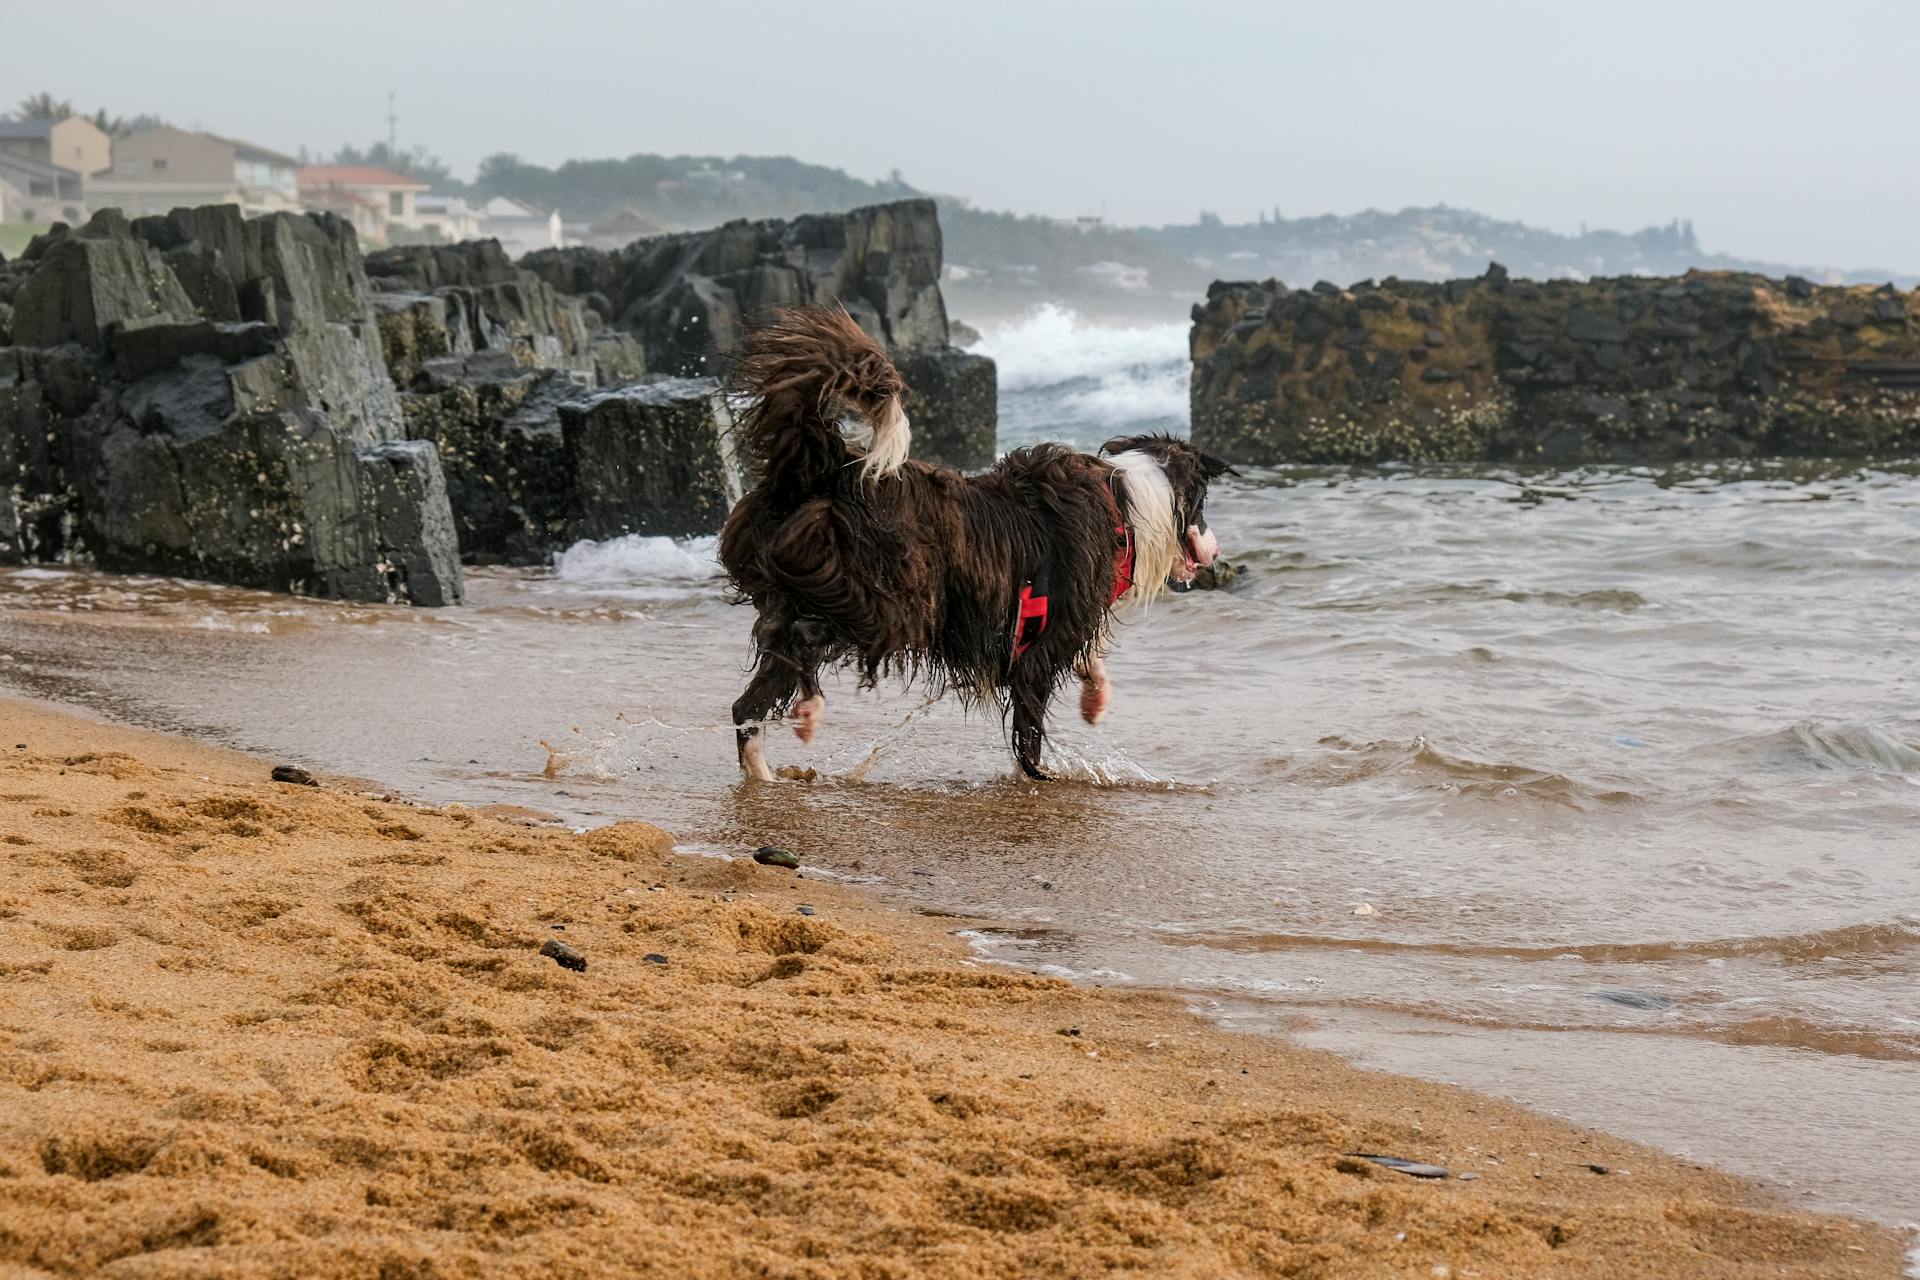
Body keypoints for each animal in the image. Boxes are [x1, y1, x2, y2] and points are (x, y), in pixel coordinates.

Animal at [718, 307, 1228, 782]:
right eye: (1203, 505)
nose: (1216, 551)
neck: (1127, 503)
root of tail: (820, 467)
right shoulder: (1042, 644)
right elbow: (1029, 729)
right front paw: (1039, 778)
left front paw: (1095, 698)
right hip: (885, 592)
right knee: (813, 640)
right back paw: (807, 710)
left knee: (749, 703)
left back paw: (763, 774)